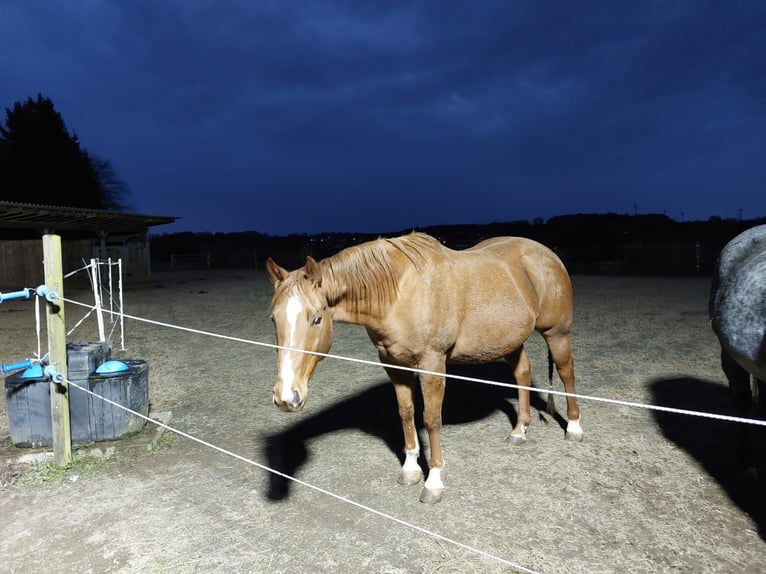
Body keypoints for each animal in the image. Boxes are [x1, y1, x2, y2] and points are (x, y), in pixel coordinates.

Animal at [266, 231, 583, 504]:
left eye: (317, 318)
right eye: (273, 319)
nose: (286, 397)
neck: (399, 292)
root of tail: (547, 254)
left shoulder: (432, 363)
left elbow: (431, 419)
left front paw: (434, 482)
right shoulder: (392, 363)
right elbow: (406, 412)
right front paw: (410, 469)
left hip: (557, 333)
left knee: (566, 373)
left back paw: (574, 427)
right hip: (510, 340)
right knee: (522, 373)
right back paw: (520, 430)